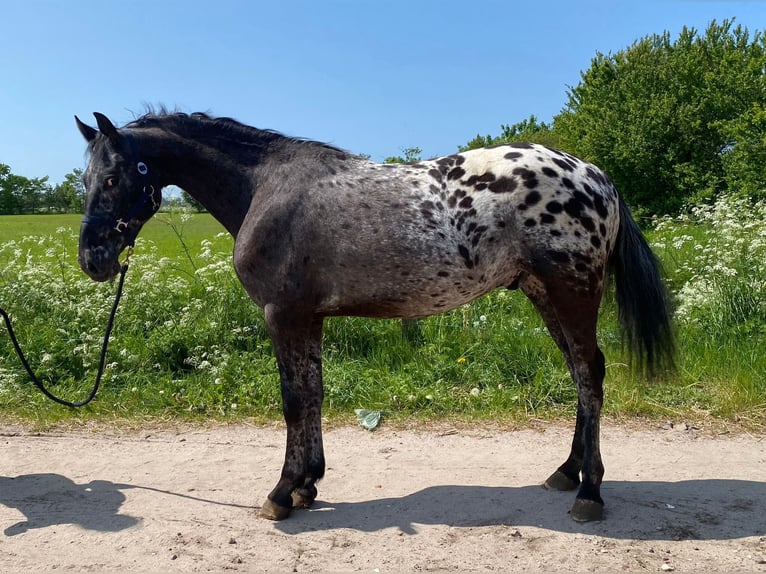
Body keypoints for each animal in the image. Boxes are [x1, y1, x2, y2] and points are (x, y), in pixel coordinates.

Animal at [75, 110, 676, 524]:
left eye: (113, 178)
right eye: (85, 180)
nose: (93, 259)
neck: (265, 188)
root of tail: (595, 175)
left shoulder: (282, 315)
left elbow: (293, 402)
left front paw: (281, 494)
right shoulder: (307, 318)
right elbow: (313, 394)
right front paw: (307, 484)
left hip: (572, 294)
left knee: (590, 375)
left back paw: (590, 492)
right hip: (544, 294)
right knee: (581, 374)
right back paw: (566, 472)